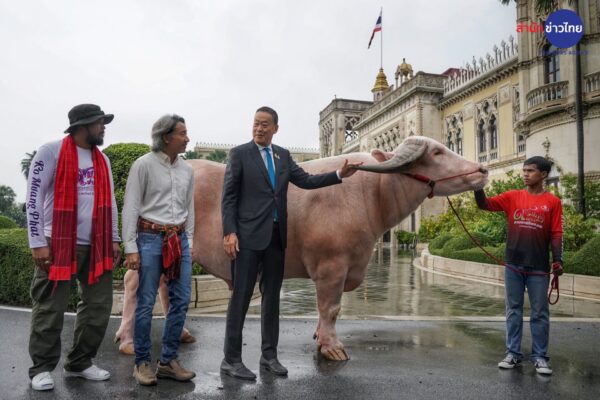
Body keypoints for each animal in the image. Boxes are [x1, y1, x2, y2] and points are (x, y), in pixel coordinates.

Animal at [192, 136, 488, 360]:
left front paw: (319, 336)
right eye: (437, 152)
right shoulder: (331, 267)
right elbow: (331, 308)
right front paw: (331, 347)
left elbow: (327, 312)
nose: (482, 170)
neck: (373, 195)